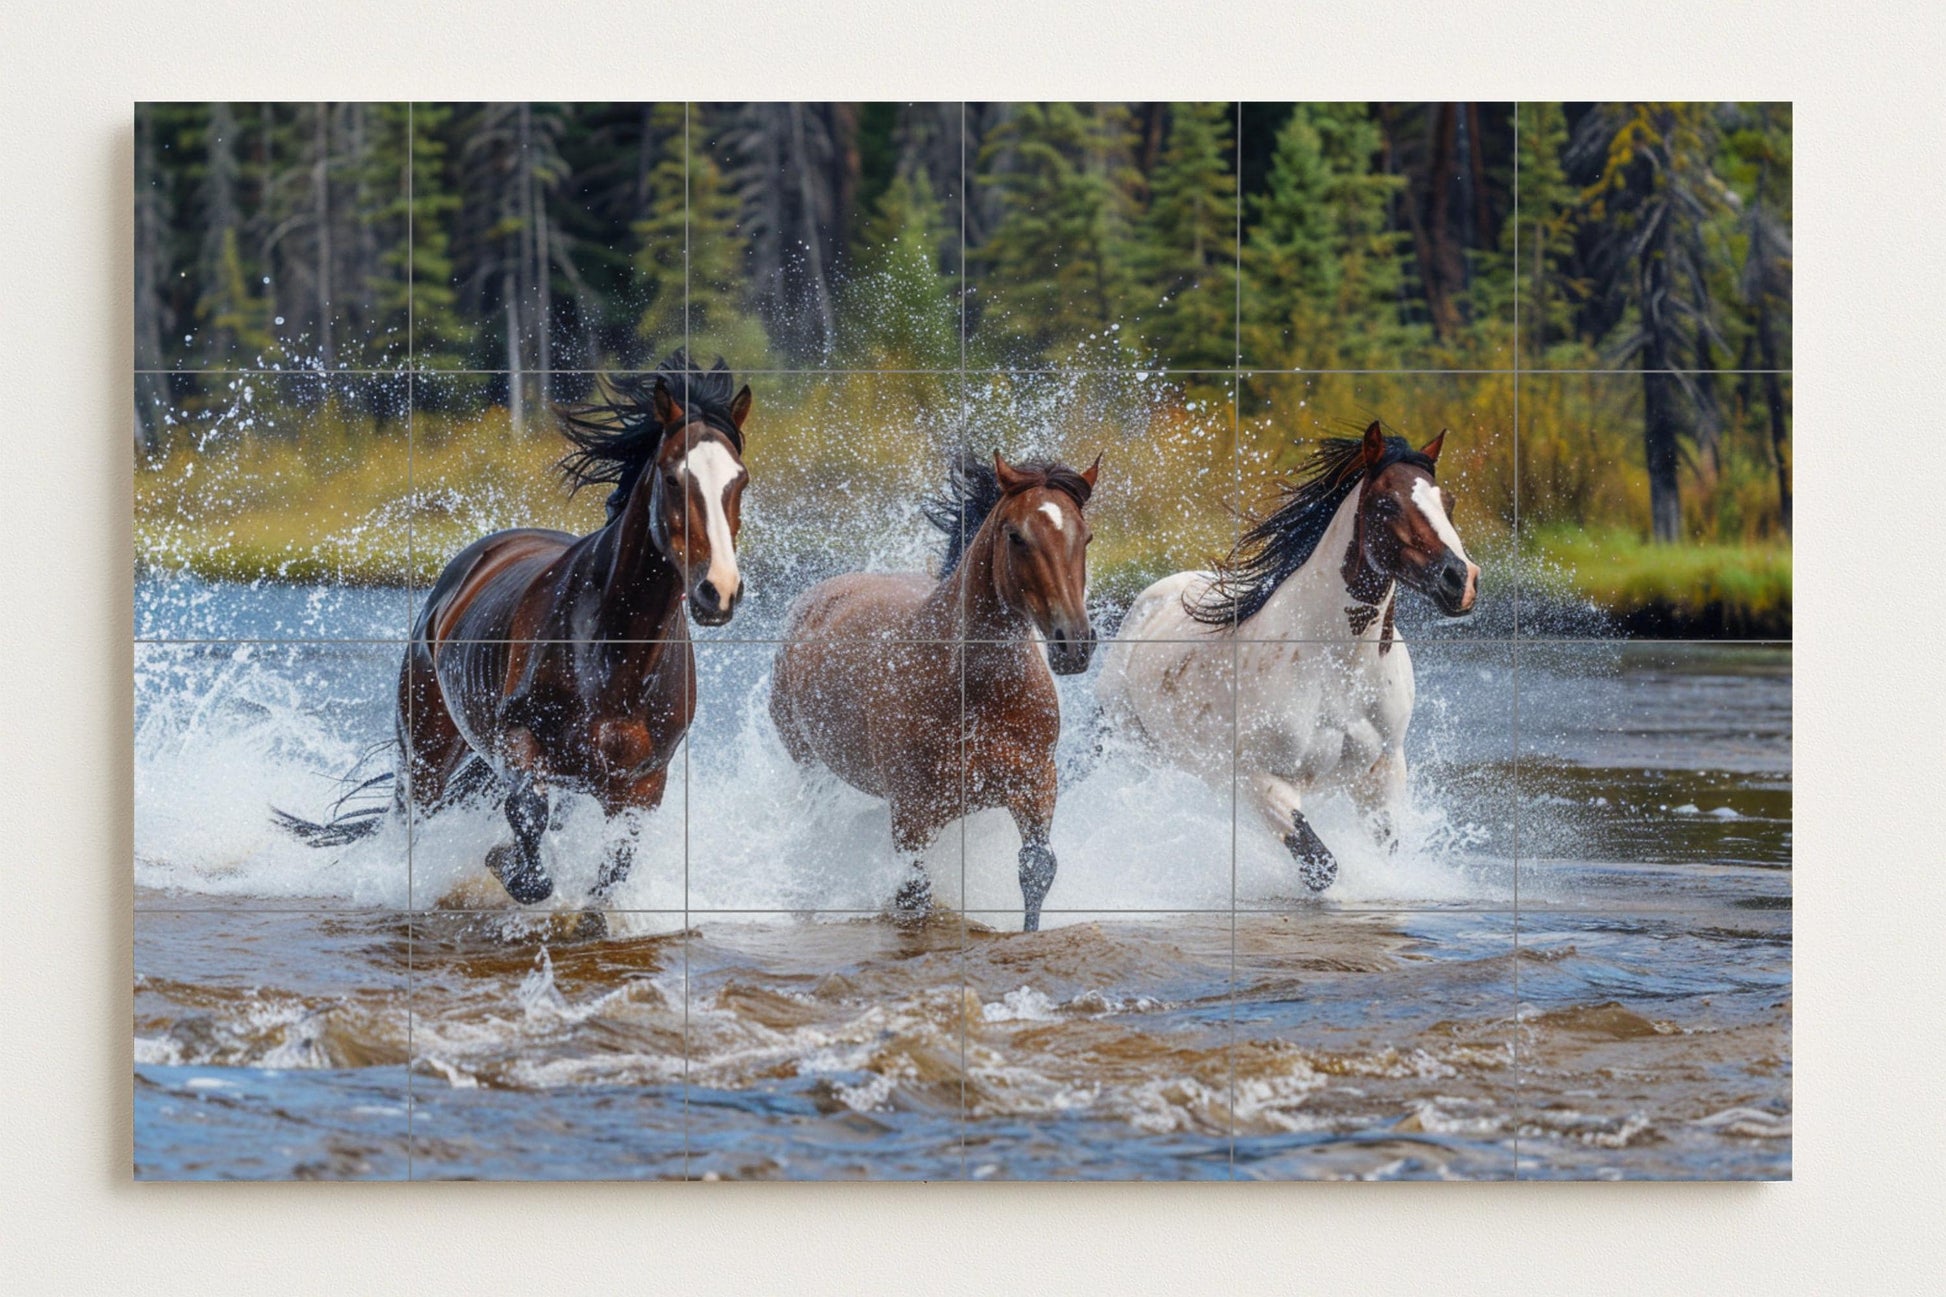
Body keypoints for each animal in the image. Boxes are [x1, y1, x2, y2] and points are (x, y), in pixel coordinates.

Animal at [276, 351, 753, 920]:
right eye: (674, 478)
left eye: (741, 481)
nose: (717, 591)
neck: (613, 653)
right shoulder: (521, 739)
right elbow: (526, 822)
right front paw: (507, 866)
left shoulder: (643, 782)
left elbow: (613, 864)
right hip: (425, 746)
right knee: (411, 814)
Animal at [768, 451, 1101, 932]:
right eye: (1016, 536)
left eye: (1086, 536)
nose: (1073, 644)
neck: (975, 690)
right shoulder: (914, 813)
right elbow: (914, 895)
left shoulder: (1037, 784)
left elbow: (1036, 869)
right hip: (810, 767)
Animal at [1095, 421, 1478, 893]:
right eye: (1387, 502)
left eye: (1449, 502)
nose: (1460, 579)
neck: (1337, 668)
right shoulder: (1258, 779)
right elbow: (1321, 865)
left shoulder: (1383, 771)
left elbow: (1383, 850)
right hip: (1134, 749)